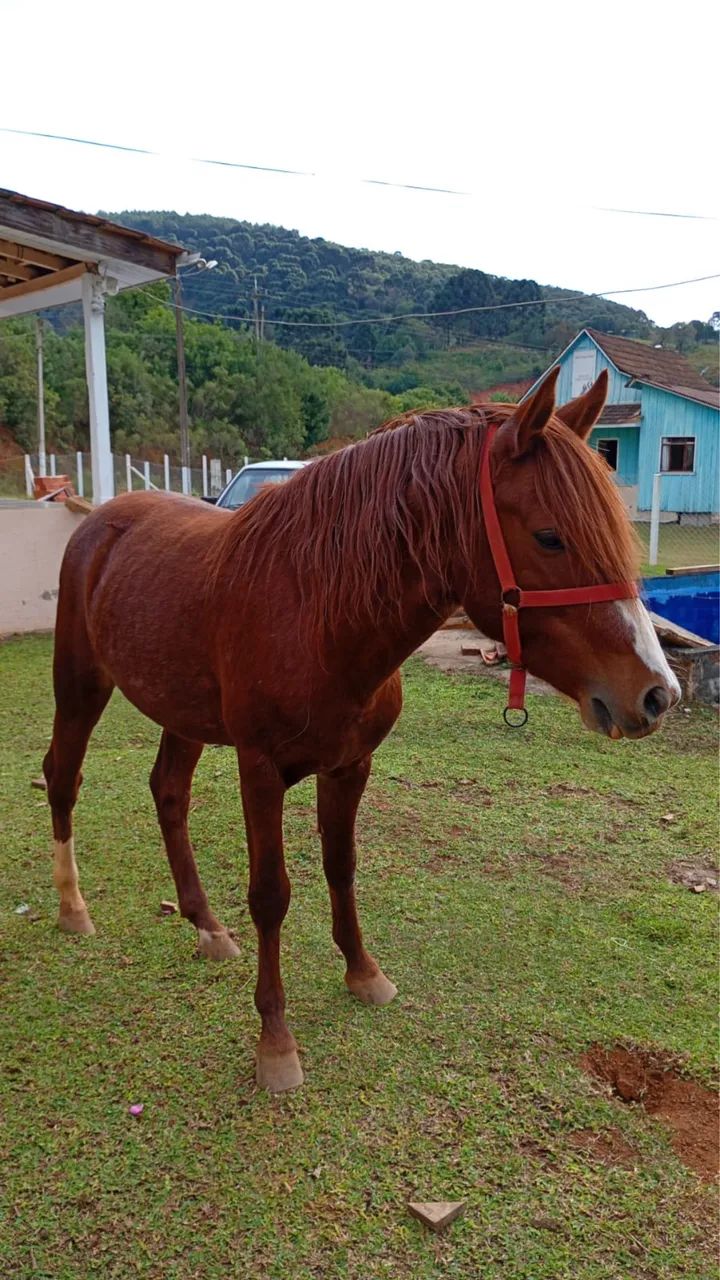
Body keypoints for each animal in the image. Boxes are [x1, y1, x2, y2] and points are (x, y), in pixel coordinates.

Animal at [43, 368, 679, 1092]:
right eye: (550, 537)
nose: (657, 694)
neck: (316, 610)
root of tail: (102, 520)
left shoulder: (350, 766)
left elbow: (341, 867)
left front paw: (363, 973)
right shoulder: (259, 771)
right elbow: (271, 895)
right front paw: (276, 1041)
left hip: (182, 712)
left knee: (168, 794)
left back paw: (205, 926)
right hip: (81, 684)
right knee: (62, 778)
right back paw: (73, 908)